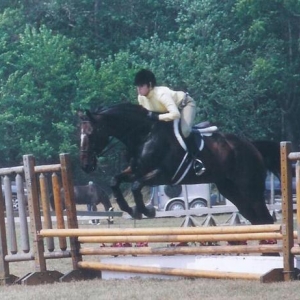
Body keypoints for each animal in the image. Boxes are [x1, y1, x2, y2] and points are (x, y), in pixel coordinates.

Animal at [78, 103, 282, 225]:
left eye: (91, 134)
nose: (85, 166)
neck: (144, 136)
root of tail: (252, 146)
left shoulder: (162, 174)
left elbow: (136, 186)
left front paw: (146, 210)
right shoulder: (136, 170)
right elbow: (115, 181)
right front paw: (130, 209)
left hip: (250, 189)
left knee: (265, 218)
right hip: (230, 189)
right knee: (256, 219)